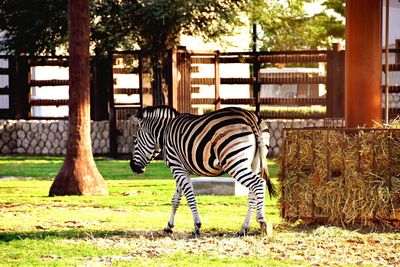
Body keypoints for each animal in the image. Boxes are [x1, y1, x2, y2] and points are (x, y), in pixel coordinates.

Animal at [130, 106, 276, 237]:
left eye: (135, 140)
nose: (133, 167)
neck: (165, 131)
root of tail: (249, 116)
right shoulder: (181, 169)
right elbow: (176, 200)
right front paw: (169, 227)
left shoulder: (177, 168)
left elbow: (190, 197)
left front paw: (196, 226)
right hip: (254, 163)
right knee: (252, 193)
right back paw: (243, 228)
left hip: (234, 162)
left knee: (258, 183)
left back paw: (262, 222)